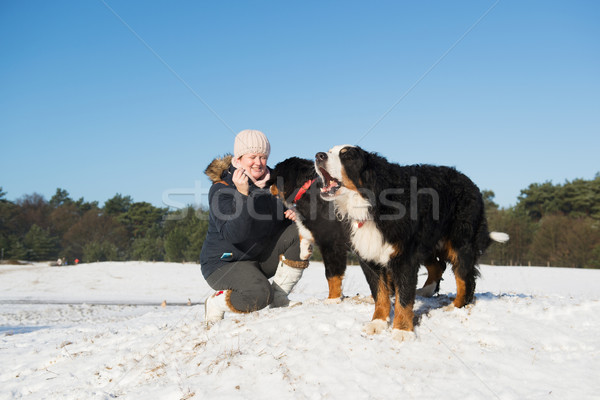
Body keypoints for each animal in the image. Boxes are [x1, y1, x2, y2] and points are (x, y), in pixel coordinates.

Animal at [268, 156, 450, 304]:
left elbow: (332, 274)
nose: (267, 186)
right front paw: (305, 250)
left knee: (437, 265)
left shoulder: (332, 244)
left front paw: (332, 299)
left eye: (274, 176)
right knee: (437, 266)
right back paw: (425, 291)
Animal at [316, 145, 508, 340]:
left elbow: (404, 297)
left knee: (465, 279)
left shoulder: (405, 256)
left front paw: (402, 330)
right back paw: (426, 291)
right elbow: (380, 293)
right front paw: (378, 322)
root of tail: (470, 183)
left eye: (347, 155)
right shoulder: (370, 255)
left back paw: (454, 307)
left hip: (460, 243)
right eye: (330, 150)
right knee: (438, 267)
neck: (371, 205)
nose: (319, 156)